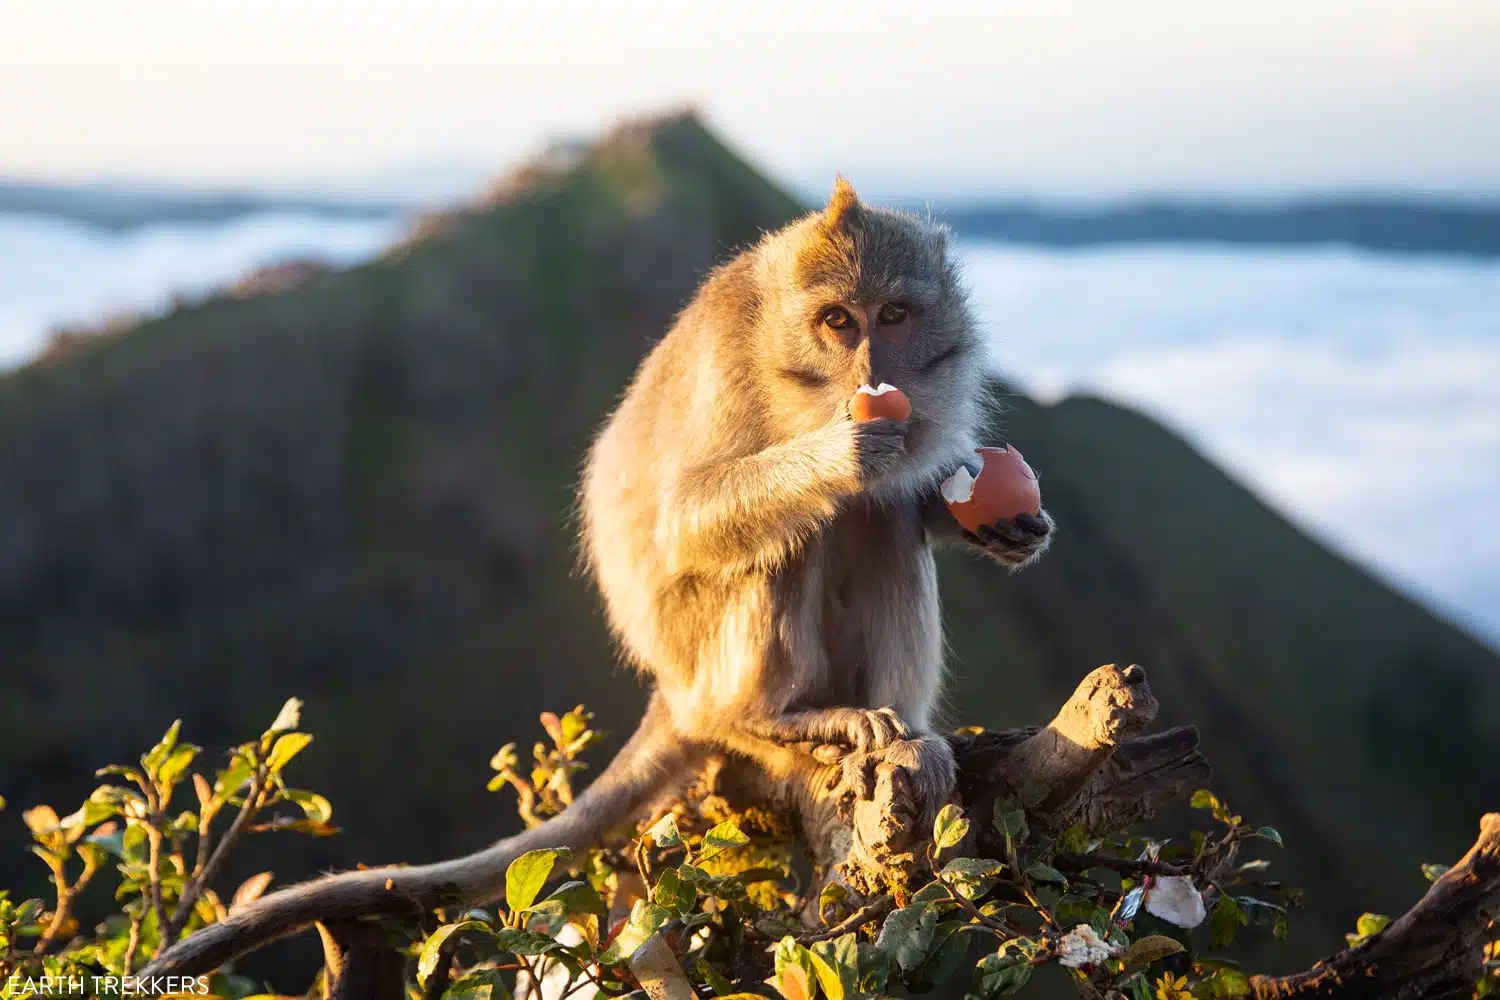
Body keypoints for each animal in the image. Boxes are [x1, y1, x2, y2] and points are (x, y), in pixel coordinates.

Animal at [143, 177, 1056, 977]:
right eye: (838, 320)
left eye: (894, 315)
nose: (874, 369)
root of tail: (675, 689)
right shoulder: (734, 368)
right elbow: (687, 516)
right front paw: (843, 453)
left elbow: (910, 498)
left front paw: (993, 522)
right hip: (701, 652)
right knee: (798, 535)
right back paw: (775, 722)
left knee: (880, 524)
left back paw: (901, 731)